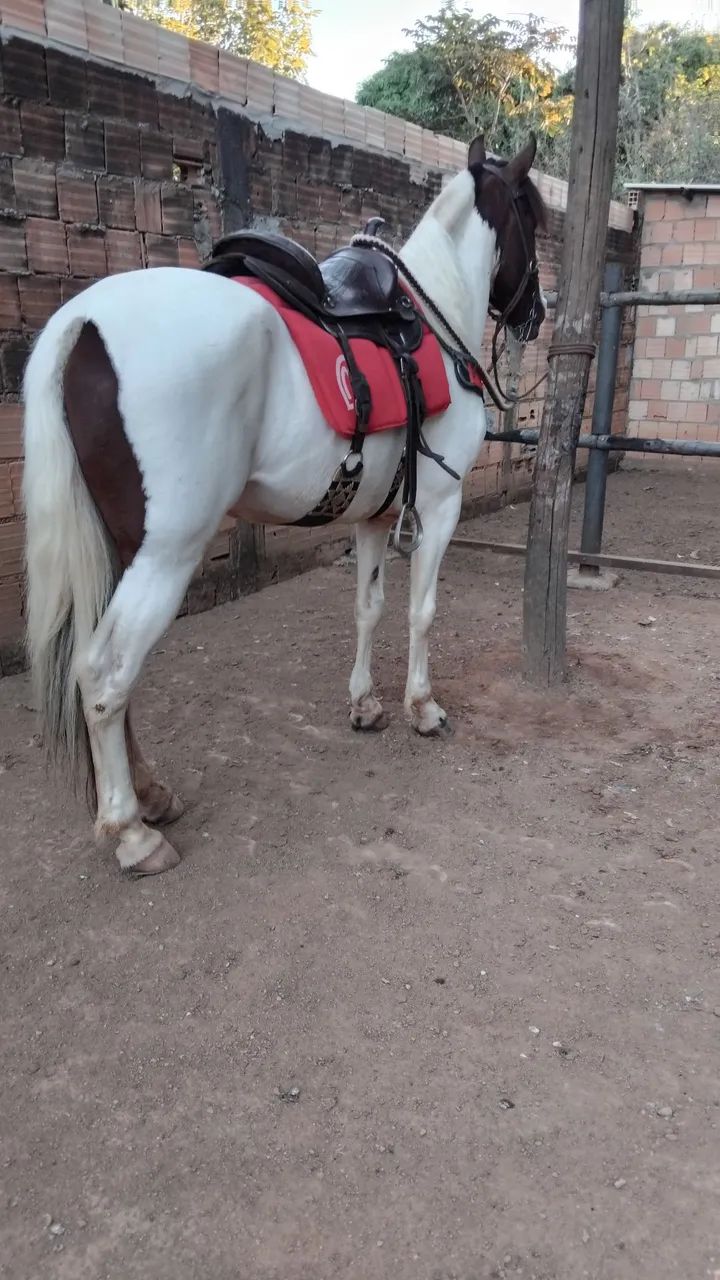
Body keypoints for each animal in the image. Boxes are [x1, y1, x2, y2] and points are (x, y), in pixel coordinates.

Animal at [22, 133, 546, 876]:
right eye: (532, 218)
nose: (537, 314)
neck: (432, 321)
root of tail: (82, 322)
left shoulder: (374, 519)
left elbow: (368, 607)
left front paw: (364, 705)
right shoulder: (440, 509)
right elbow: (420, 612)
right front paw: (421, 708)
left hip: (120, 550)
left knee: (105, 677)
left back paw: (151, 794)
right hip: (164, 557)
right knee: (103, 674)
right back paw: (131, 832)